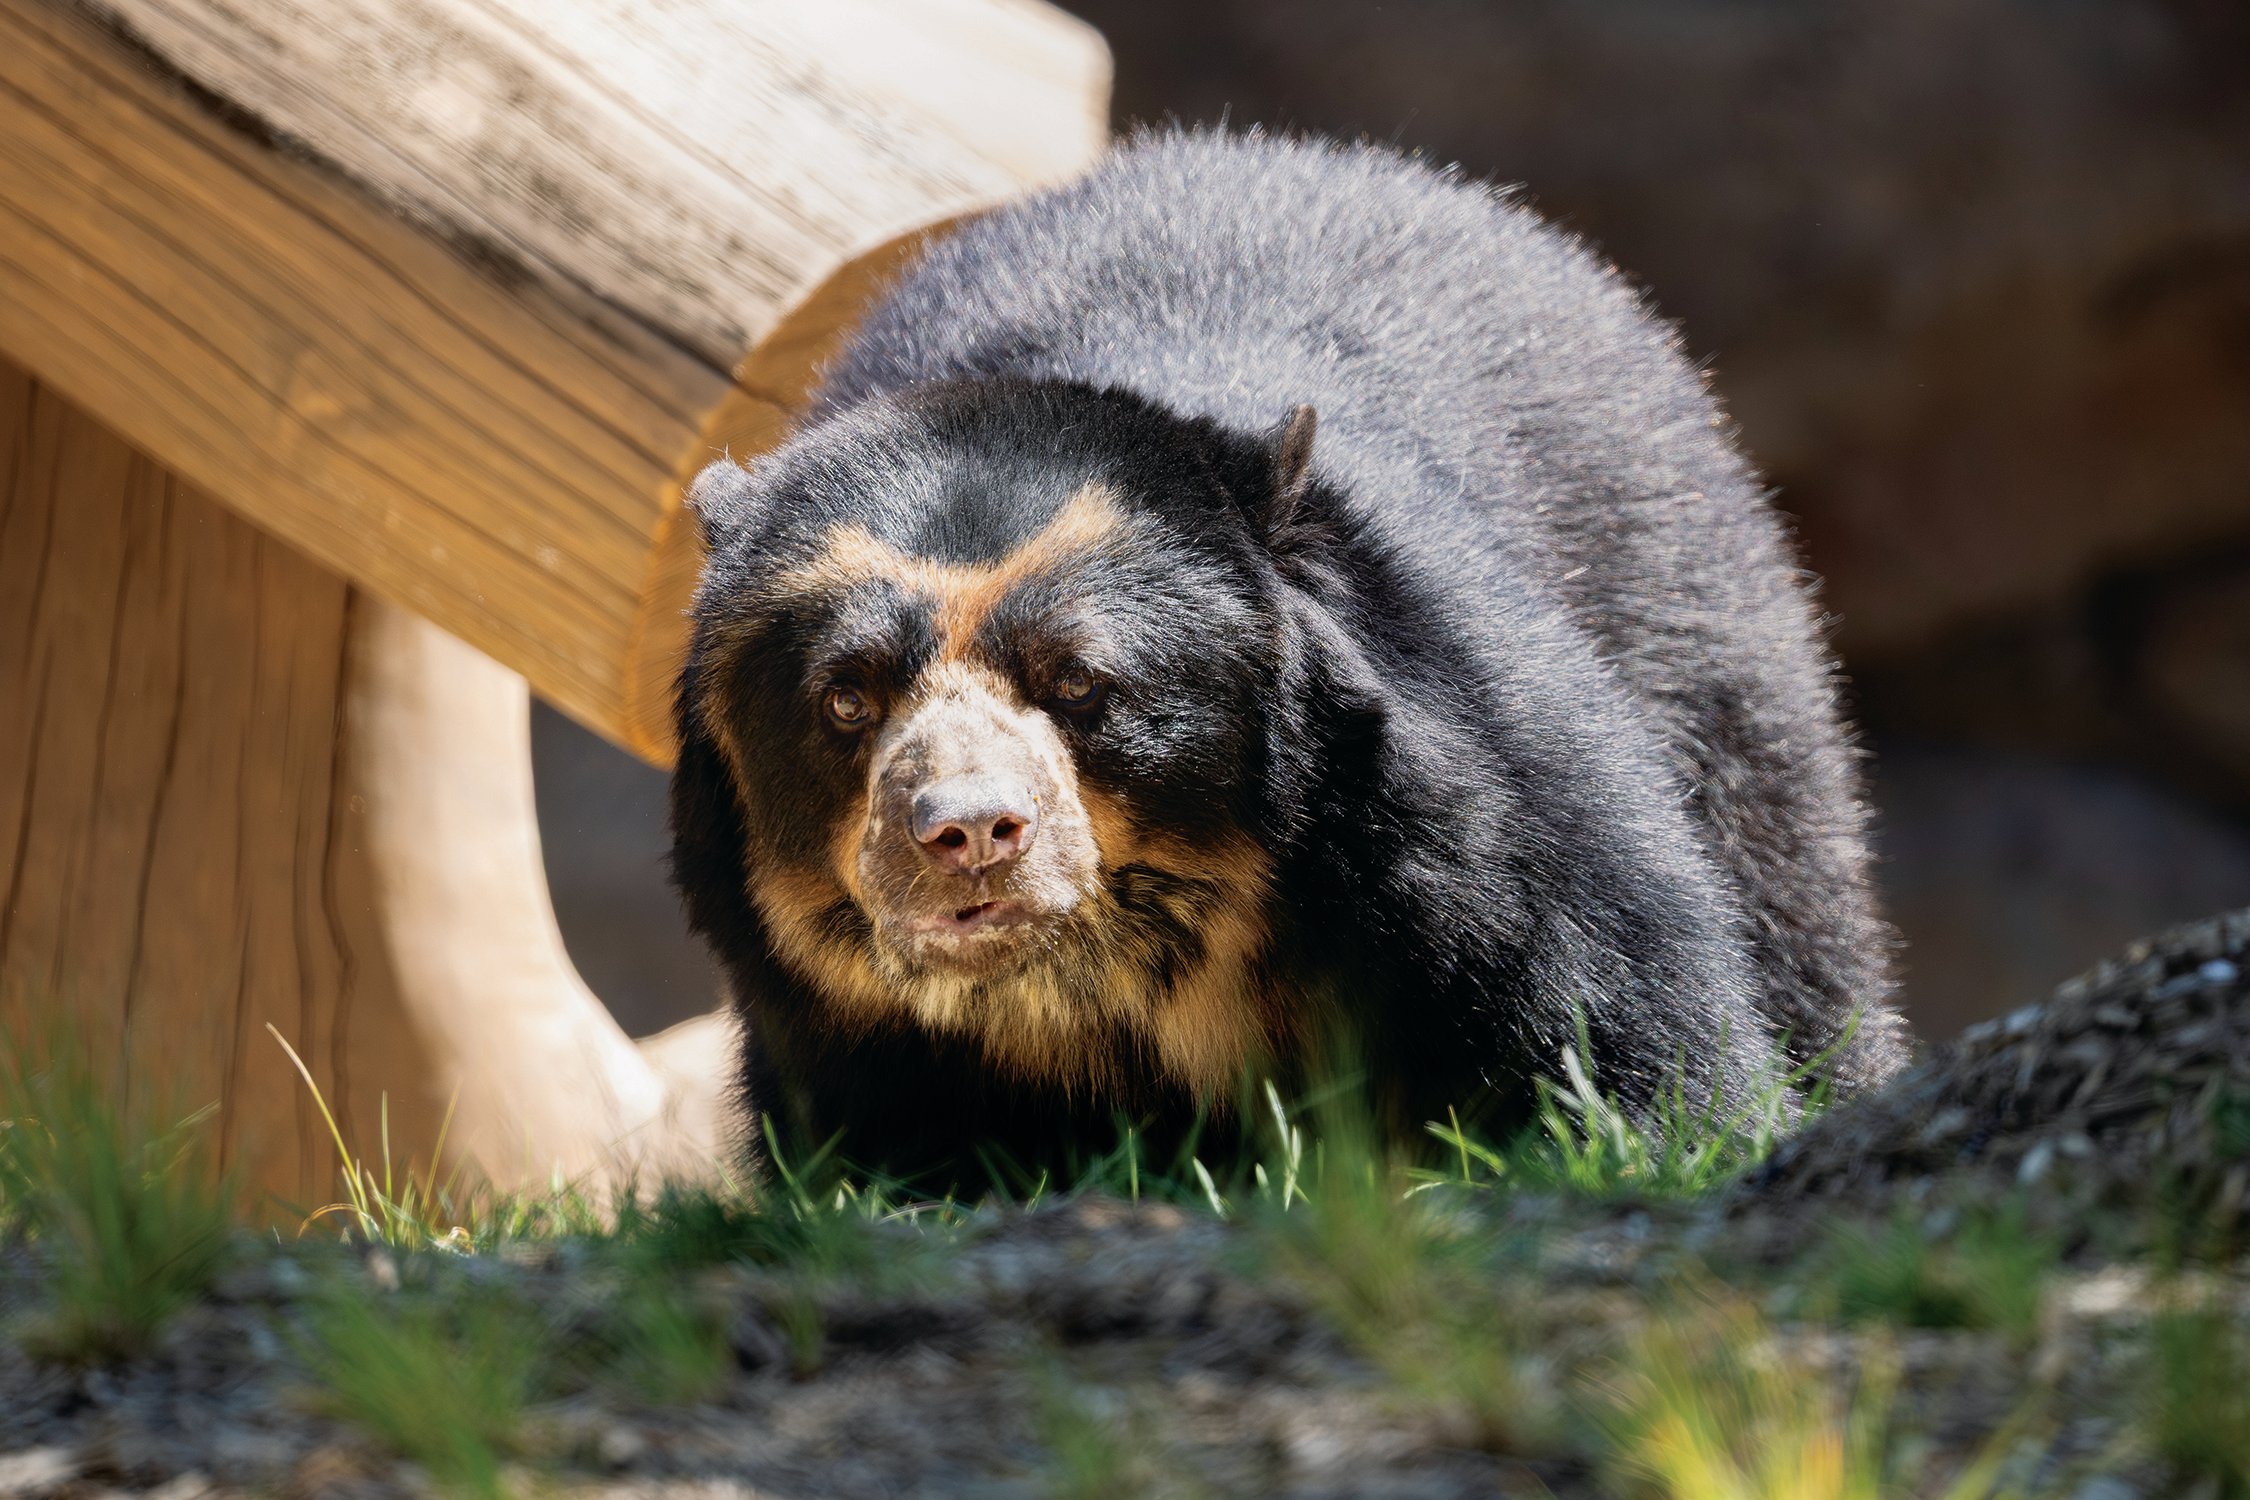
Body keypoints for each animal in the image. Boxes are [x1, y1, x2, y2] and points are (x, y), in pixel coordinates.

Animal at [670, 129, 1910, 1184]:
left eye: (1082, 683)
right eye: (845, 699)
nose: (968, 833)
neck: (1118, 973)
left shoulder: (1487, 811)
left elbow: (1622, 1012)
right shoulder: (852, 1030)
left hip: (1700, 629)